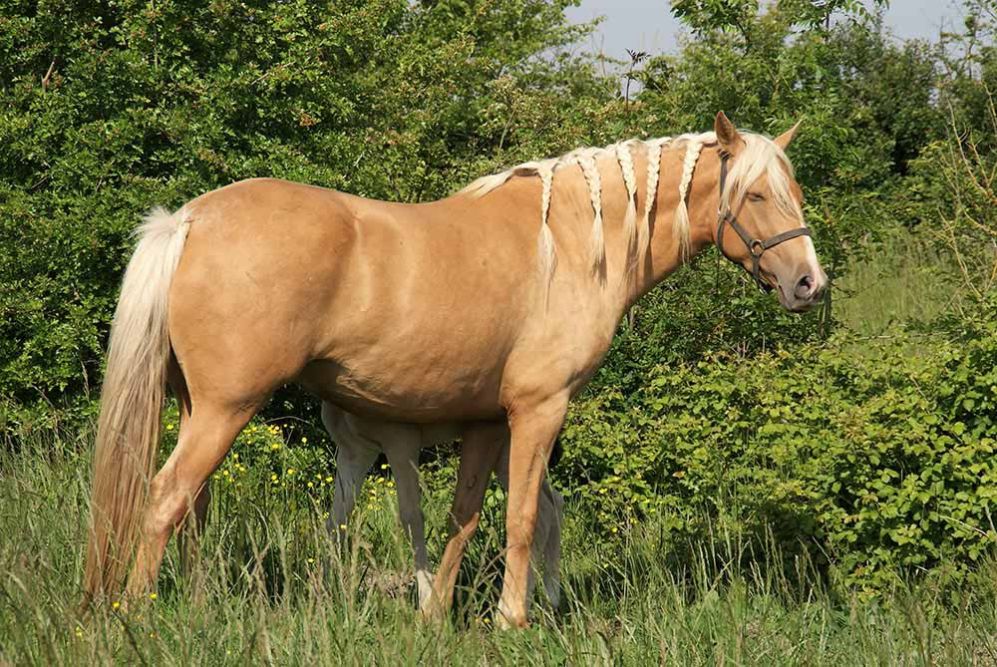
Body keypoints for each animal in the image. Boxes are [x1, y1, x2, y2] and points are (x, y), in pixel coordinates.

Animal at [84, 112, 825, 628]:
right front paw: (512, 619)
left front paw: (436, 613)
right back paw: (139, 613)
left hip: (197, 407)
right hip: (225, 408)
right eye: (755, 196)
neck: (572, 242)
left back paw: (195, 602)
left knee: (193, 506)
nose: (809, 284)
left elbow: (463, 517)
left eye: (793, 191)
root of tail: (189, 220)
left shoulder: (485, 421)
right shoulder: (538, 409)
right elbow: (521, 517)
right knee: (166, 497)